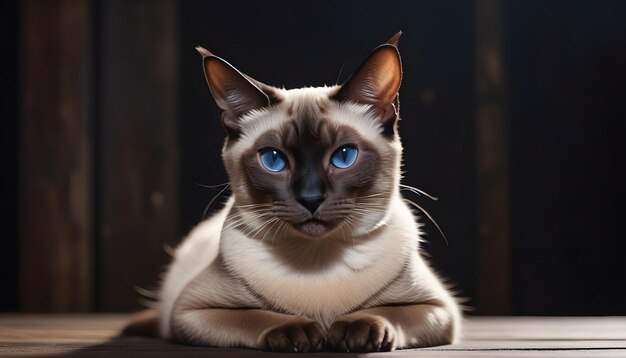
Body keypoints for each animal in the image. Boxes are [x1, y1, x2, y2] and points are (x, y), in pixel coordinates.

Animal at [129, 32, 460, 352]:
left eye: (344, 157)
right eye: (274, 160)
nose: (310, 199)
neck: (317, 260)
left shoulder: (438, 308)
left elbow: (385, 311)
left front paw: (355, 331)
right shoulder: (192, 312)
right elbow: (255, 317)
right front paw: (297, 333)